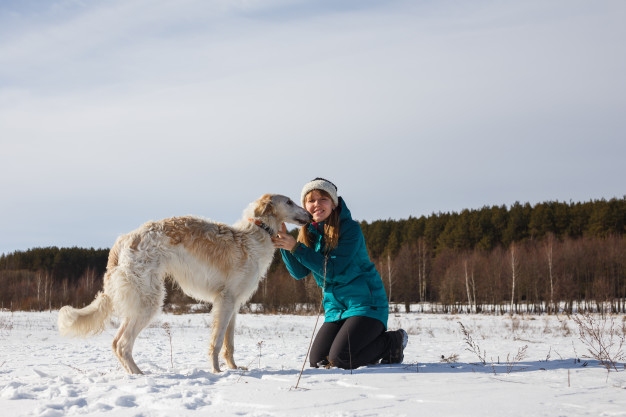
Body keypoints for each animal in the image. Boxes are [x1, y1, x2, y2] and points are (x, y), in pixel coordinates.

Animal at [58, 195, 310, 374]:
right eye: (289, 201)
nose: (308, 214)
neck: (254, 235)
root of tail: (125, 239)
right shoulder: (225, 300)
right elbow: (217, 341)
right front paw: (217, 371)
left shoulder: (235, 303)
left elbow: (229, 344)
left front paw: (235, 368)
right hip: (149, 300)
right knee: (123, 344)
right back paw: (141, 375)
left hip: (138, 301)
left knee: (115, 343)